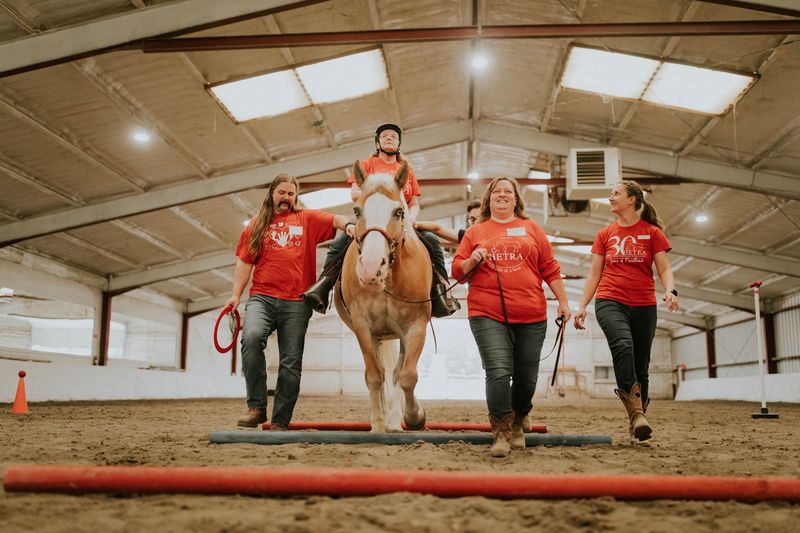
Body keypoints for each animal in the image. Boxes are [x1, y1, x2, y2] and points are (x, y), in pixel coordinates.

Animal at [333, 160, 432, 432]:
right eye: (356, 211)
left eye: (398, 212)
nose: (371, 267)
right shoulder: (363, 327)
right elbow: (374, 375)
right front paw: (377, 424)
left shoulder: (415, 327)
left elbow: (407, 376)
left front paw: (413, 416)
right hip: (378, 336)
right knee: (382, 371)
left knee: (397, 373)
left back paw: (396, 421)